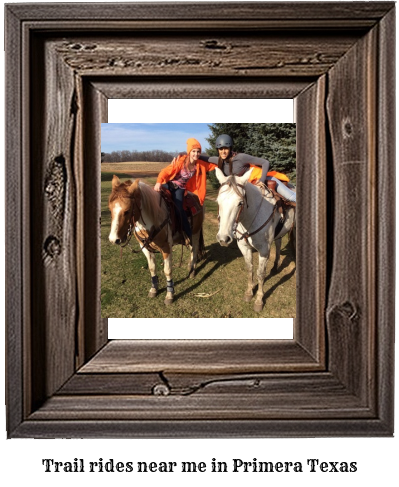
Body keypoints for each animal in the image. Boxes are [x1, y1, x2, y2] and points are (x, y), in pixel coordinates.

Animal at [108, 175, 205, 304]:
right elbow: (152, 267)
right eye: (110, 209)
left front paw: (169, 294)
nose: (114, 239)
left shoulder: (166, 247)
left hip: (195, 233)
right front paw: (154, 289)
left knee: (194, 249)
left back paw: (193, 270)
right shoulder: (144, 247)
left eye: (127, 210)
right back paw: (190, 265)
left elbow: (167, 270)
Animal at [216, 168, 296, 312]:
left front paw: (259, 300)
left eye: (240, 203)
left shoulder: (264, 250)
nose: (223, 238)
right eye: (218, 201)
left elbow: (260, 274)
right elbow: (249, 269)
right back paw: (275, 267)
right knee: (279, 243)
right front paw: (249, 293)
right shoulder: (244, 247)